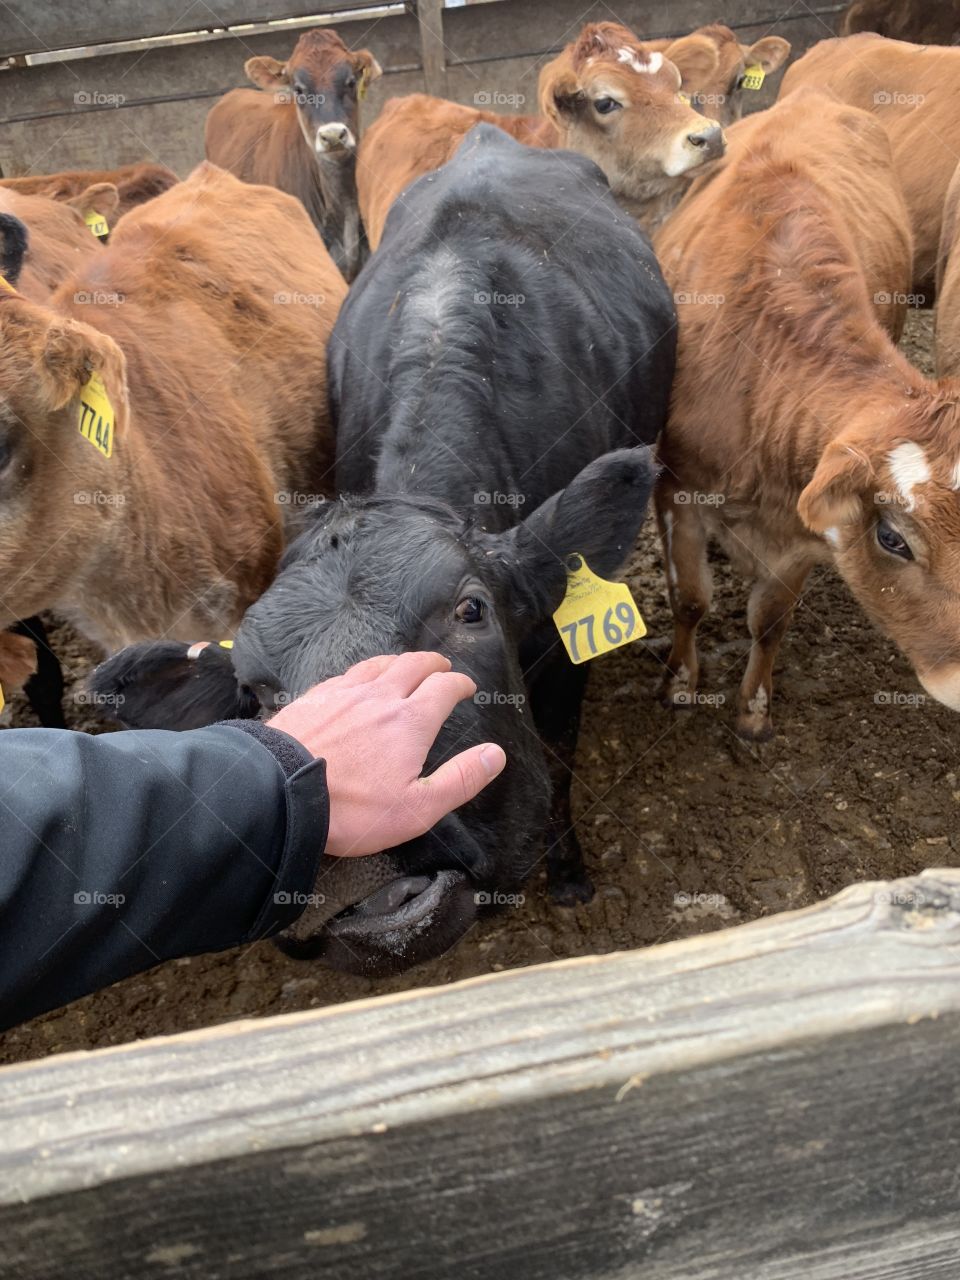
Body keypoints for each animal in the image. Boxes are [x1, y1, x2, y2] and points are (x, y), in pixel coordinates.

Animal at [90, 126, 676, 975]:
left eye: (472, 611)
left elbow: (561, 754)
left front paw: (569, 874)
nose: (354, 848)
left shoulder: (562, 638)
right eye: (254, 688)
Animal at [651, 89, 959, 740]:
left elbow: (770, 619)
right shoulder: (675, 490)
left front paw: (753, 709)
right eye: (892, 538)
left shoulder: (800, 528)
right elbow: (689, 598)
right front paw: (679, 682)